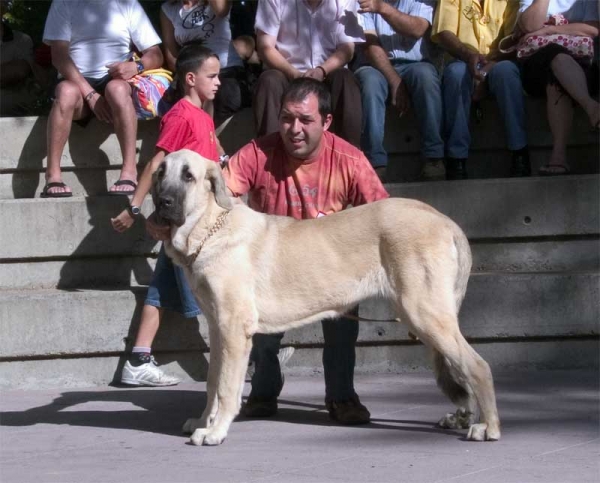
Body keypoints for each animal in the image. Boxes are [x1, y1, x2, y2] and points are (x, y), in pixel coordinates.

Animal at [151, 150, 502, 446]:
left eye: (188, 176)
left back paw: (489, 426)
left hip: (424, 313)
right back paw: (463, 417)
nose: (163, 202)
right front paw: (203, 421)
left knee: (478, 366)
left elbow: (225, 387)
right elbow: (212, 383)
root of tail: (446, 221)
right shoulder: (217, 329)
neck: (210, 227)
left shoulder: (234, 329)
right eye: (160, 173)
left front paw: (215, 431)